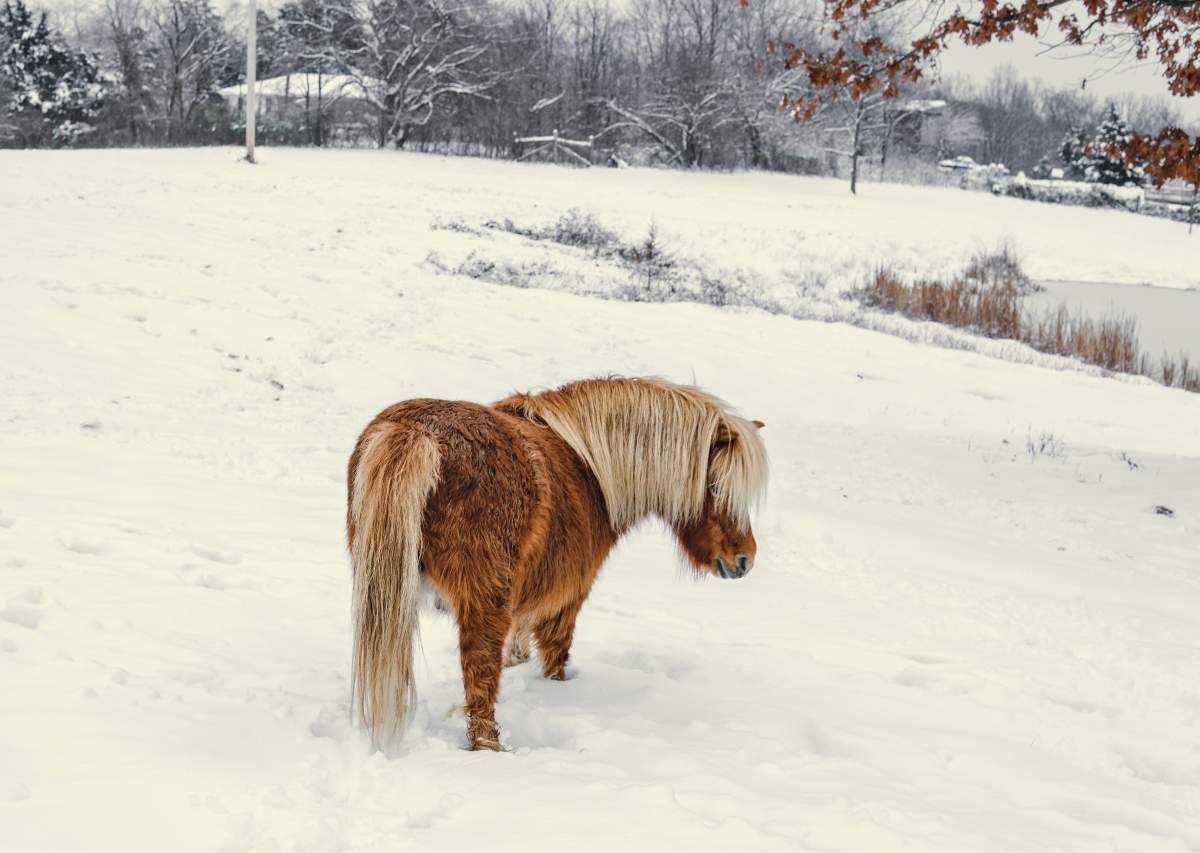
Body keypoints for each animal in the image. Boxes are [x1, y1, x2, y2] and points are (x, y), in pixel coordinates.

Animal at [346, 376, 768, 751]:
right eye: (716, 487)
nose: (743, 559)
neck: (590, 469)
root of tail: (416, 432)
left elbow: (518, 650)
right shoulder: (565, 599)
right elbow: (555, 658)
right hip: (482, 603)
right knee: (480, 678)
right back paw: (491, 747)